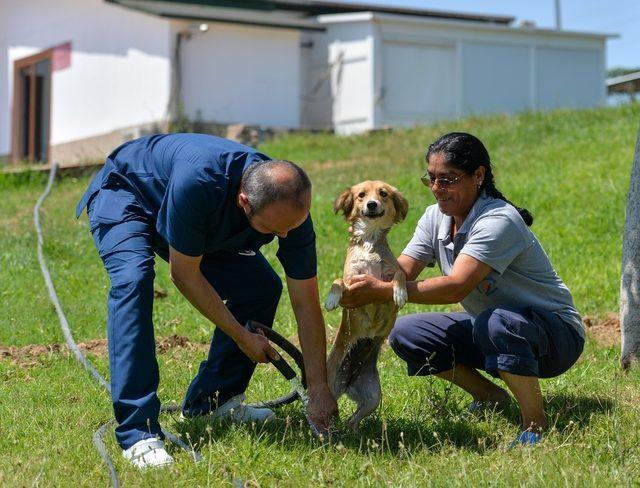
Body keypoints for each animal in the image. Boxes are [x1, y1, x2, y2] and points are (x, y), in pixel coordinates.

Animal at [324, 181, 410, 428]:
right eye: (361, 195)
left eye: (383, 194)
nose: (372, 204)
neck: (370, 243)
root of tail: (348, 381)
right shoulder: (351, 283)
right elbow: (337, 281)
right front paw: (331, 300)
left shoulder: (390, 274)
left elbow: (399, 275)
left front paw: (400, 293)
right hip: (331, 389)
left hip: (372, 397)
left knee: (352, 421)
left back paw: (353, 432)